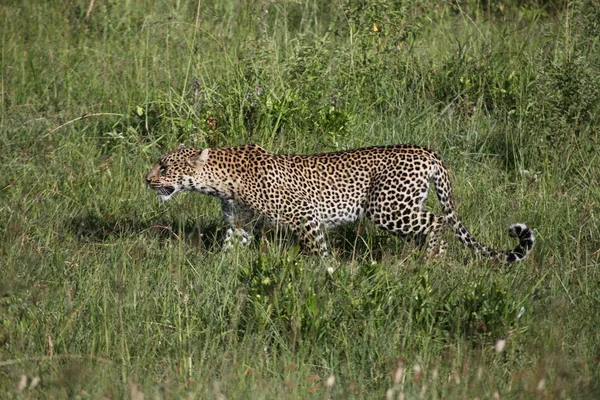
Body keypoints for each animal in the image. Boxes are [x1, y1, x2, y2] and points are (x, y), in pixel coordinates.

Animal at [145, 145, 536, 262]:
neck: (220, 182)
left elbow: (318, 250)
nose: (146, 179)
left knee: (437, 223)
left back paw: (433, 263)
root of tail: (428, 151)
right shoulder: (240, 225)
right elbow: (230, 251)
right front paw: (219, 273)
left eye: (164, 165)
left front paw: (327, 272)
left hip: (389, 209)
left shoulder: (304, 215)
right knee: (431, 226)